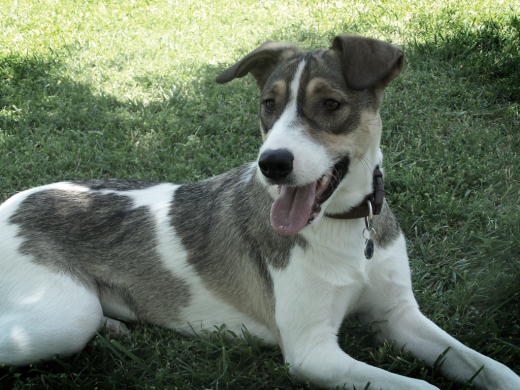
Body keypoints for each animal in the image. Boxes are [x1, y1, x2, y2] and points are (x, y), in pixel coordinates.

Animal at [1, 35, 520, 388]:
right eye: (268, 105)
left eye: (330, 104)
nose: (271, 164)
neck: (345, 228)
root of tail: (9, 203)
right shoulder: (313, 351)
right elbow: (420, 386)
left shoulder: (399, 316)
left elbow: (488, 365)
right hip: (64, 314)